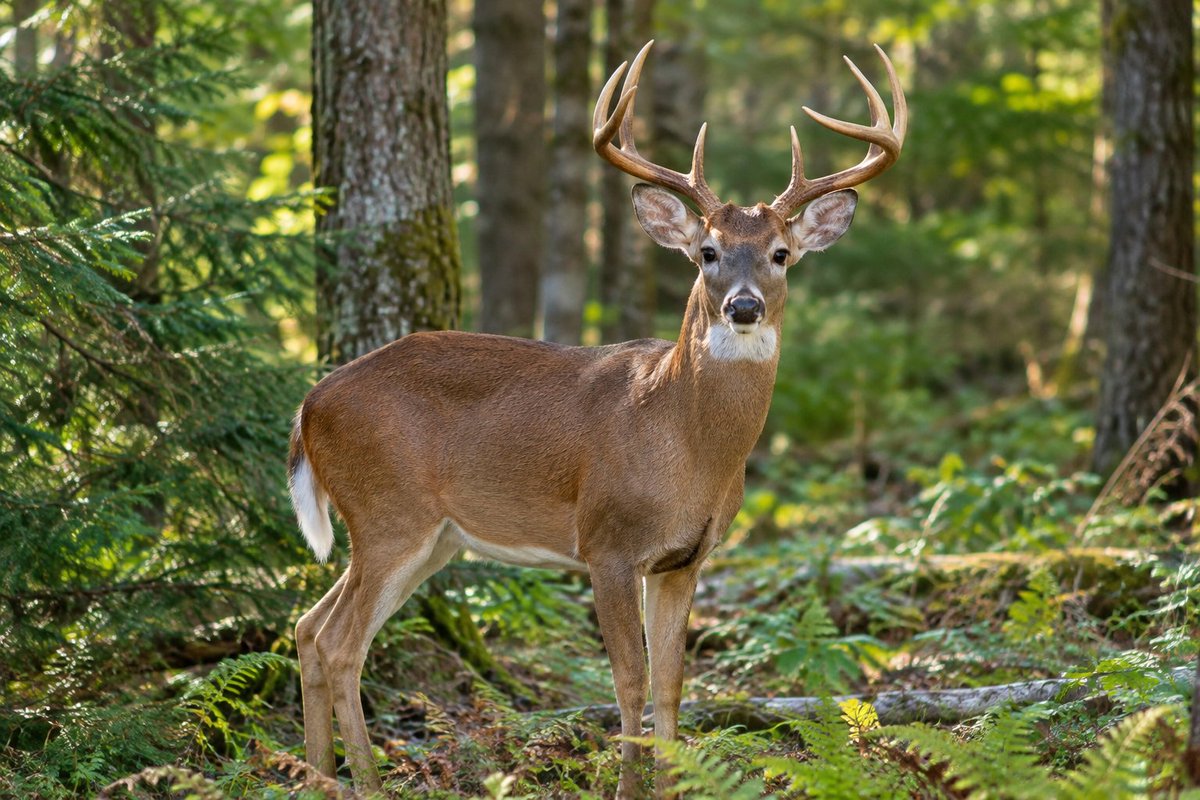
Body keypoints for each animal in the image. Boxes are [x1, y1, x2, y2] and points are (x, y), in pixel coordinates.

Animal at [288, 40, 905, 797]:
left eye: (781, 254)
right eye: (707, 253)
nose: (744, 306)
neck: (685, 443)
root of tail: (309, 404)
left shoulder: (683, 558)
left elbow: (672, 685)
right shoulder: (607, 543)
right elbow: (629, 684)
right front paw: (629, 787)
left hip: (430, 537)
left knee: (308, 628)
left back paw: (314, 773)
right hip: (387, 512)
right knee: (340, 642)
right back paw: (365, 781)